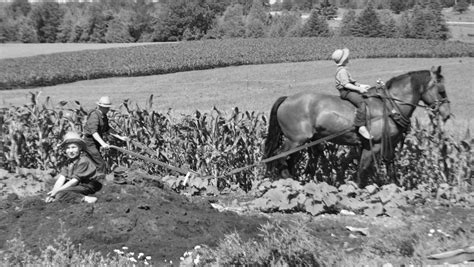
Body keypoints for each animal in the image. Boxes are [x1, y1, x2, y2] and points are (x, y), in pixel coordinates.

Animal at [264, 66, 450, 187]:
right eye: (441, 90)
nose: (446, 114)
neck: (390, 107)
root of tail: (287, 99)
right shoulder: (373, 146)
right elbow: (362, 171)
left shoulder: (387, 145)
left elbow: (390, 167)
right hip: (295, 140)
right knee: (279, 156)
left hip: (301, 142)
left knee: (288, 160)